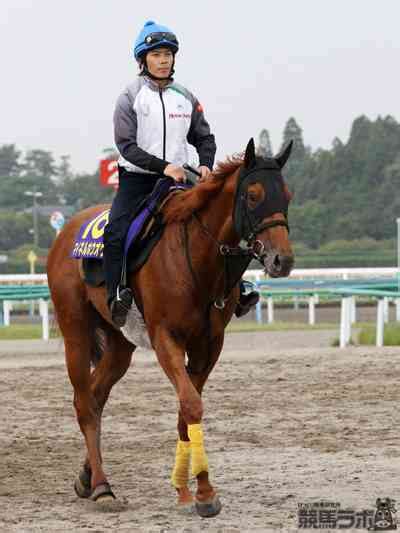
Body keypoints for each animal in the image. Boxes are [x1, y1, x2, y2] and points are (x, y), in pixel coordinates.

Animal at [48, 137, 296, 516]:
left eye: (287, 195)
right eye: (253, 195)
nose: (282, 260)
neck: (196, 258)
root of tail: (66, 231)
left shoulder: (210, 345)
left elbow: (185, 408)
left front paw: (187, 489)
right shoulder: (166, 338)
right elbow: (191, 404)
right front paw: (204, 492)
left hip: (120, 344)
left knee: (97, 394)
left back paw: (87, 476)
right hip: (74, 331)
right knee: (84, 403)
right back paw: (103, 486)